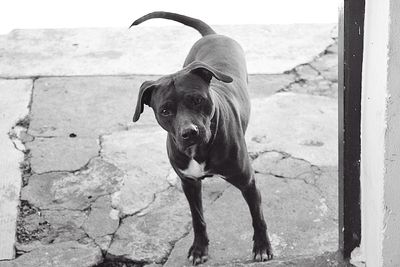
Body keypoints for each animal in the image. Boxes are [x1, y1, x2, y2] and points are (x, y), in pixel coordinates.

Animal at [130, 12, 272, 266]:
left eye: (197, 100)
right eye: (165, 111)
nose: (189, 132)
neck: (200, 150)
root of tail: (213, 35)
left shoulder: (248, 182)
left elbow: (258, 217)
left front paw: (262, 247)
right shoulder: (189, 183)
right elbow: (198, 219)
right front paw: (199, 248)